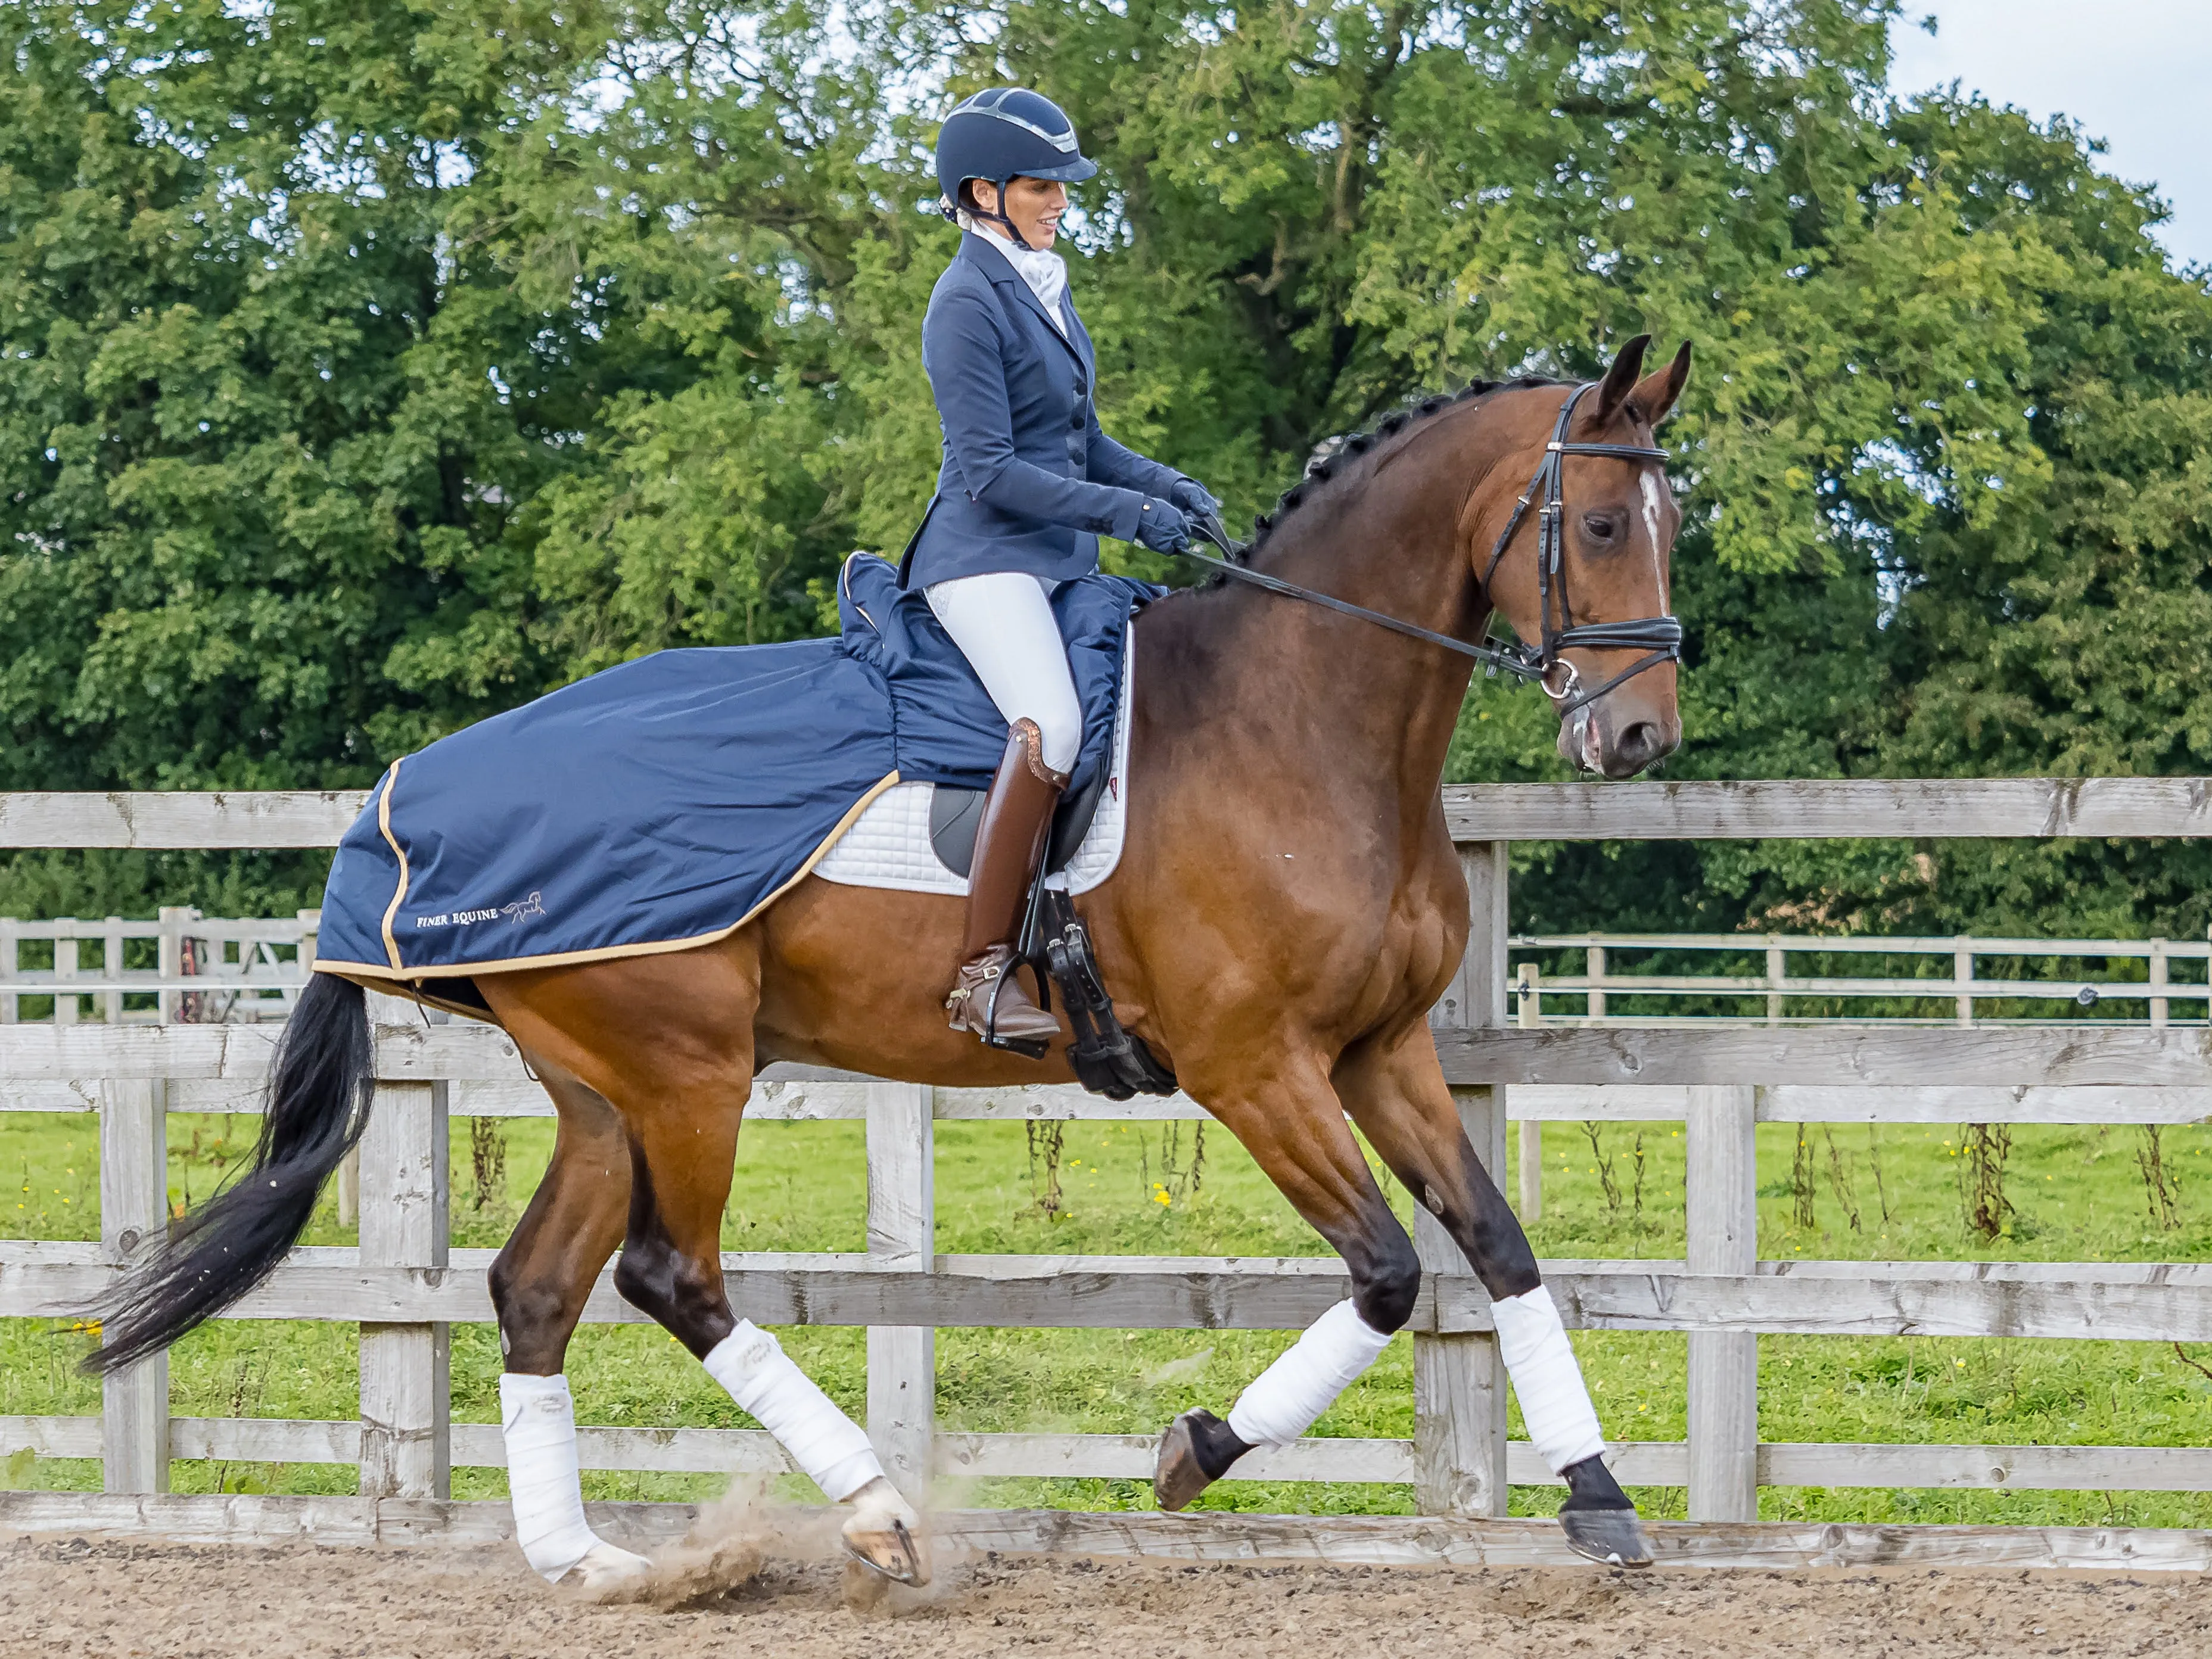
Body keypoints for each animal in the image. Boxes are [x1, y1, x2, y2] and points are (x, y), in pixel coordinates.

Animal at [82, 334, 1672, 1583]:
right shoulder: (1252, 1066)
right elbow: (1390, 1271)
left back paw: (588, 1562)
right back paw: (876, 1512)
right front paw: (1192, 1449)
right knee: (672, 1275)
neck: (1297, 722)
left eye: (1669, 520)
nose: (1638, 735)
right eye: (1598, 522)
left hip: (601, 1086)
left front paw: (1598, 1498)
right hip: (687, 1072)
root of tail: (397, 806)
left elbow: (1499, 1245)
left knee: (538, 1289)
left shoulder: (1378, 1049)